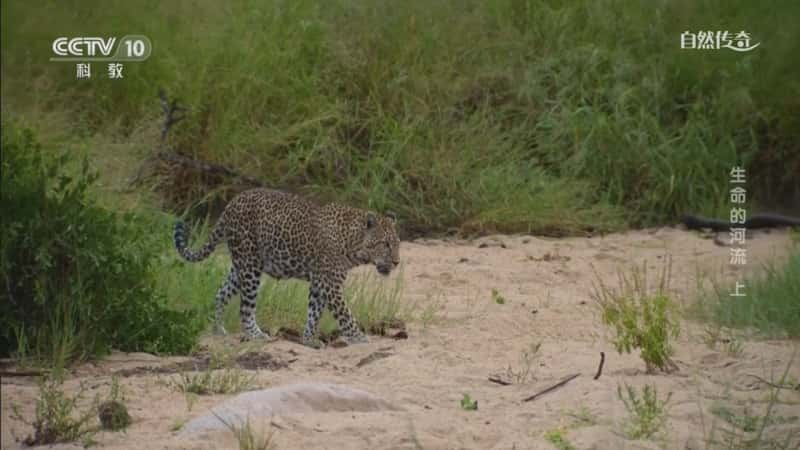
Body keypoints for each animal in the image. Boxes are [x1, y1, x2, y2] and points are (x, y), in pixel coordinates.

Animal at [175, 186, 400, 348]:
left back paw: (218, 330)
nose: (397, 262)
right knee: (245, 308)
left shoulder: (320, 282)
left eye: (397, 244)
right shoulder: (330, 283)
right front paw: (360, 338)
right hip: (250, 267)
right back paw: (256, 335)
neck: (353, 244)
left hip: (242, 265)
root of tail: (232, 202)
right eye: (385, 244)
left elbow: (314, 312)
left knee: (221, 292)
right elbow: (345, 313)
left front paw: (309, 340)